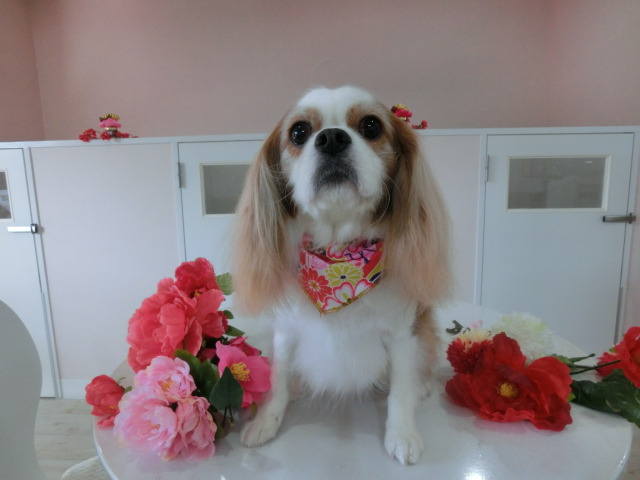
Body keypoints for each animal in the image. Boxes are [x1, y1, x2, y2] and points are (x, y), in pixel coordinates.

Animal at [232, 85, 451, 465]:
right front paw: (267, 421)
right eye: (299, 132)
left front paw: (402, 433)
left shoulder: (402, 332)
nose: (332, 138)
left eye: (371, 125)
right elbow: (277, 379)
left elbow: (400, 389)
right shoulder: (286, 330)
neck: (338, 256)